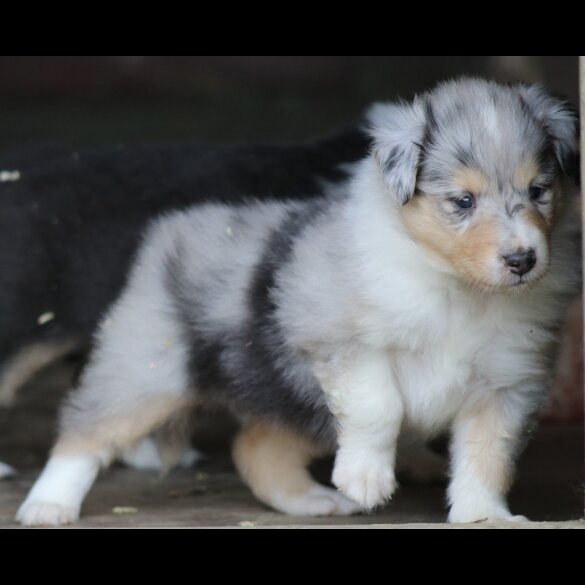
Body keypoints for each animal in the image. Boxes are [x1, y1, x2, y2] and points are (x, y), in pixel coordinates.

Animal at [17, 78, 580, 524]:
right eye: (462, 201)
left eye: (538, 191)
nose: (522, 260)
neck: (456, 287)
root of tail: (173, 225)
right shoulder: (340, 342)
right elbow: (381, 404)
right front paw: (366, 480)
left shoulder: (505, 382)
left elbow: (488, 457)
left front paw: (485, 516)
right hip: (148, 368)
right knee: (85, 431)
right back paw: (47, 506)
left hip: (291, 398)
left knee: (253, 448)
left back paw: (313, 500)